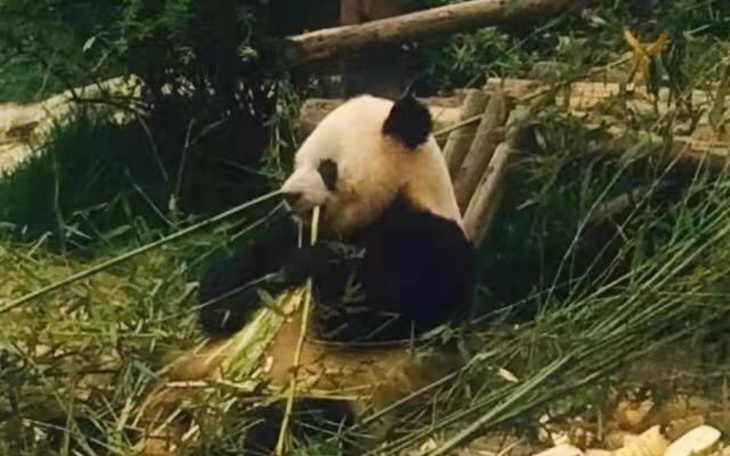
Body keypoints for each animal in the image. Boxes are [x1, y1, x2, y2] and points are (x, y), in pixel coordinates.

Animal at [140, 91, 477, 455]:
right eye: (297, 162)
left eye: (326, 167)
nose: (289, 195)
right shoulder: (291, 231)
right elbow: (222, 297)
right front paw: (274, 279)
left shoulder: (433, 241)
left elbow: (371, 316)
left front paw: (316, 265)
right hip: (189, 364)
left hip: (344, 390)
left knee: (295, 419)